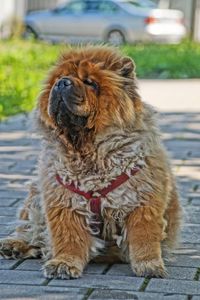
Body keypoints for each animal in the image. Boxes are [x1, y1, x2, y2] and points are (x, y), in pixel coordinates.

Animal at [0, 45, 181, 278]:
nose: (62, 82)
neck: (89, 152)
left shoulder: (143, 199)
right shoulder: (64, 200)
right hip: (35, 195)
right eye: (59, 78)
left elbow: (144, 237)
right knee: (33, 231)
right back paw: (13, 245)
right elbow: (68, 237)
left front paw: (150, 265)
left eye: (90, 82)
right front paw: (63, 263)